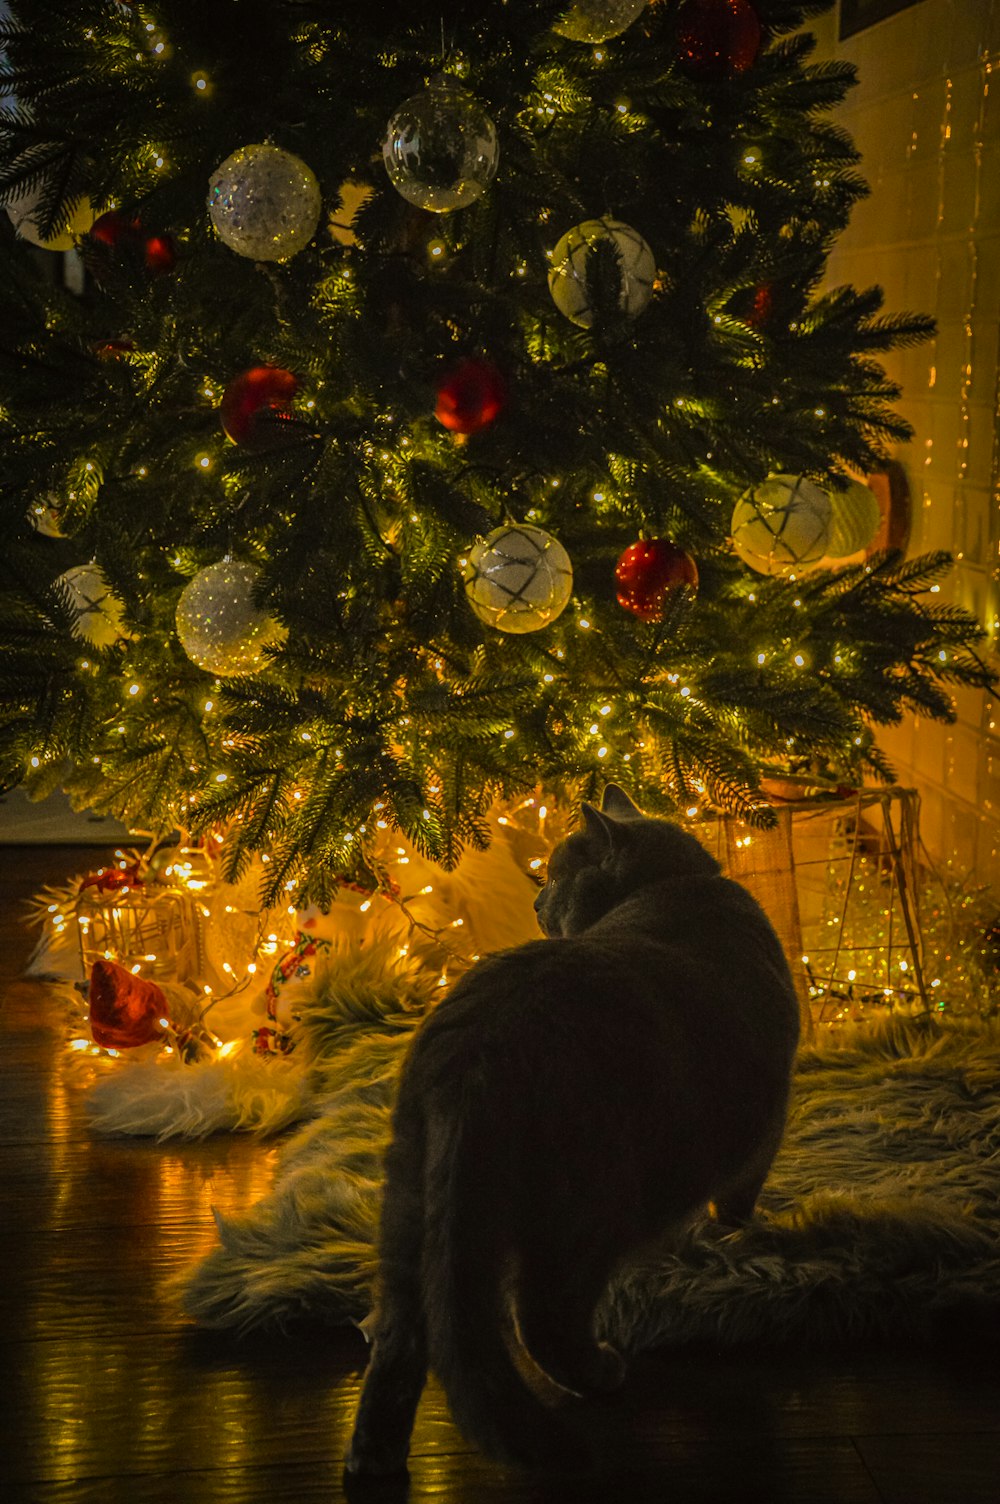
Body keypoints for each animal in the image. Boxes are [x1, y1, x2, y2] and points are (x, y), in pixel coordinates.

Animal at [342, 788, 793, 1479]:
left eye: (553, 877)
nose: (534, 903)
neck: (672, 884)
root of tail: (473, 1048)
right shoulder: (765, 1116)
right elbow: (739, 1194)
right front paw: (742, 1232)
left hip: (407, 1206)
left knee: (397, 1337)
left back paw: (374, 1460)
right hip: (593, 1204)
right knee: (541, 1316)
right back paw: (602, 1373)